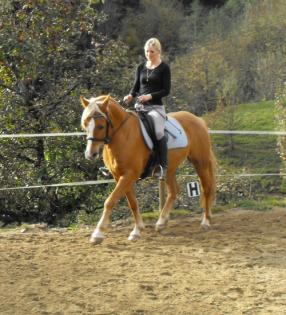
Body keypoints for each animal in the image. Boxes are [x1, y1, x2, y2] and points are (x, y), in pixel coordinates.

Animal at [79, 94, 216, 244]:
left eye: (101, 126)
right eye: (84, 124)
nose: (90, 154)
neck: (123, 134)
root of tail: (197, 119)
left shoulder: (129, 175)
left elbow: (110, 201)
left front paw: (97, 234)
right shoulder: (119, 176)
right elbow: (132, 203)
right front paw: (137, 230)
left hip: (200, 162)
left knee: (207, 188)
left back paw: (206, 221)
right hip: (169, 169)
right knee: (174, 191)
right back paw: (161, 223)